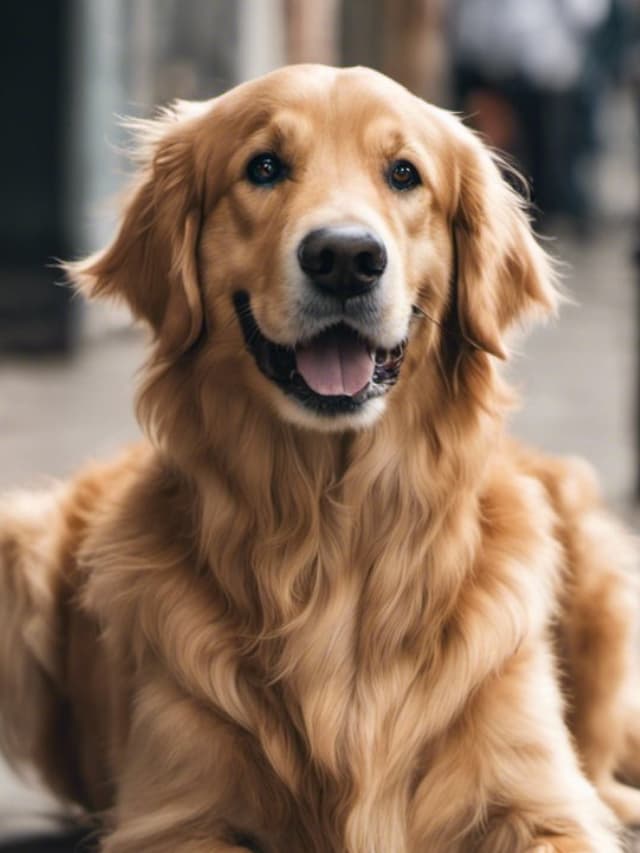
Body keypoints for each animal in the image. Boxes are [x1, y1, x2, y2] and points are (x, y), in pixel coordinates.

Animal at [1, 66, 640, 852]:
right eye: (264, 167)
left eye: (404, 174)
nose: (344, 258)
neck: (336, 534)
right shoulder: (174, 817)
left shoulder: (539, 801)